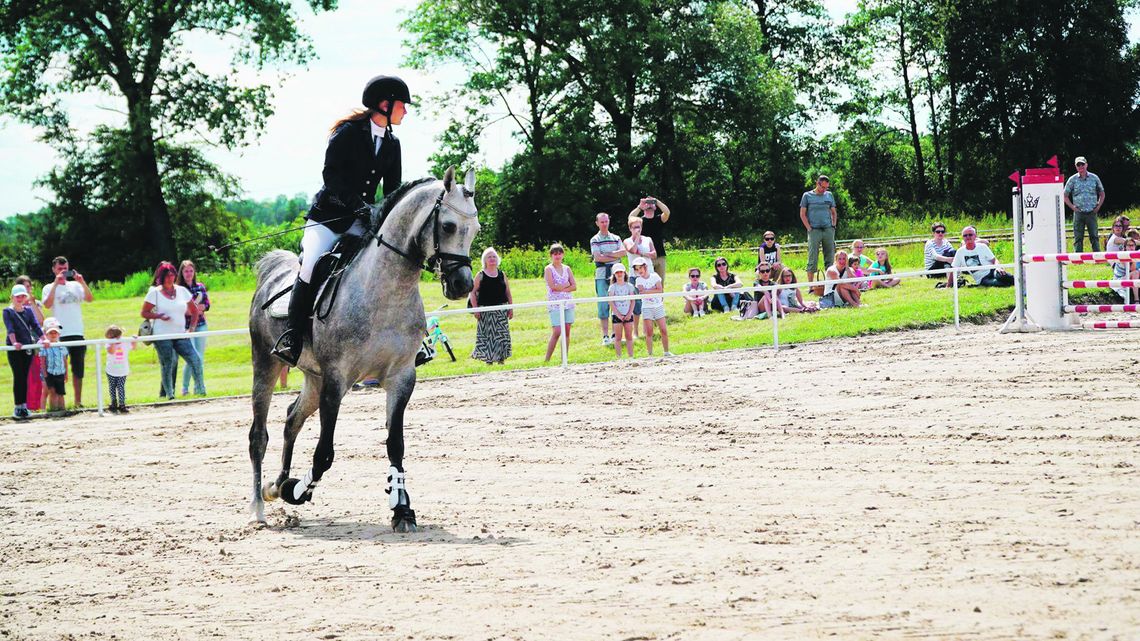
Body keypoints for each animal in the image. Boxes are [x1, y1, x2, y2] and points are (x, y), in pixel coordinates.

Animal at [247, 164, 478, 529]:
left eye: (476, 229)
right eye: (448, 226)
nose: (462, 285)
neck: (385, 290)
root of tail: (273, 273)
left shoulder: (400, 378)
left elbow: (395, 444)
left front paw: (402, 510)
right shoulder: (337, 380)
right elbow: (324, 454)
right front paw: (297, 491)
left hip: (313, 378)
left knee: (292, 419)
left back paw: (276, 484)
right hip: (266, 365)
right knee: (259, 435)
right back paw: (259, 506)